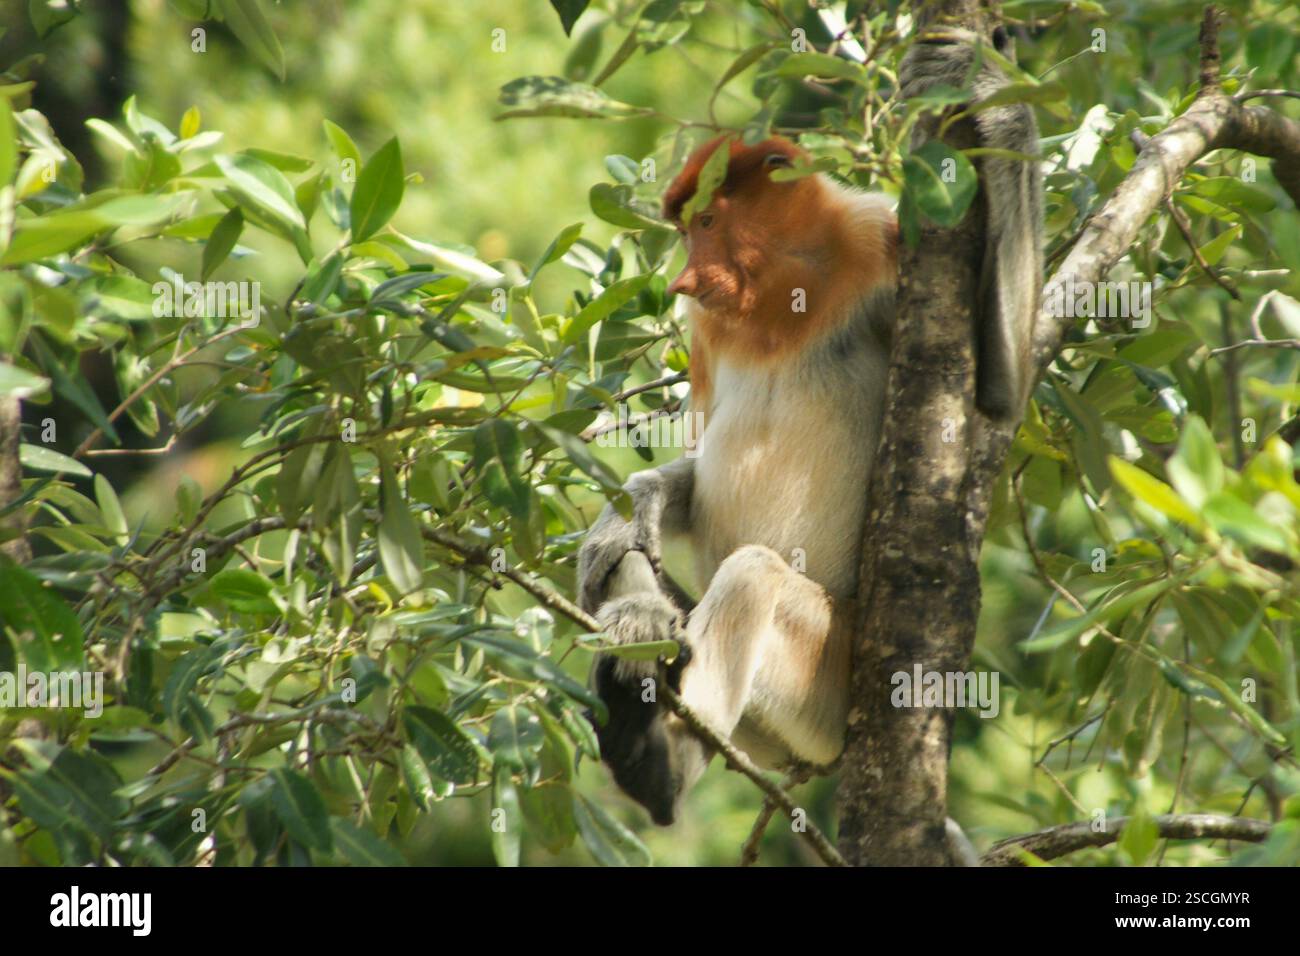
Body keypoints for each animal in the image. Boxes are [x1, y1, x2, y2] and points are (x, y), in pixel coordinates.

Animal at [578, 28, 1042, 827]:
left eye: (706, 223)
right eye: (685, 229)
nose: (682, 280)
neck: (782, 294)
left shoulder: (882, 239)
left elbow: (1000, 388)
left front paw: (982, 83)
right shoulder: (707, 330)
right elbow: (692, 458)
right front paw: (628, 510)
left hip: (827, 669)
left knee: (756, 576)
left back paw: (655, 761)